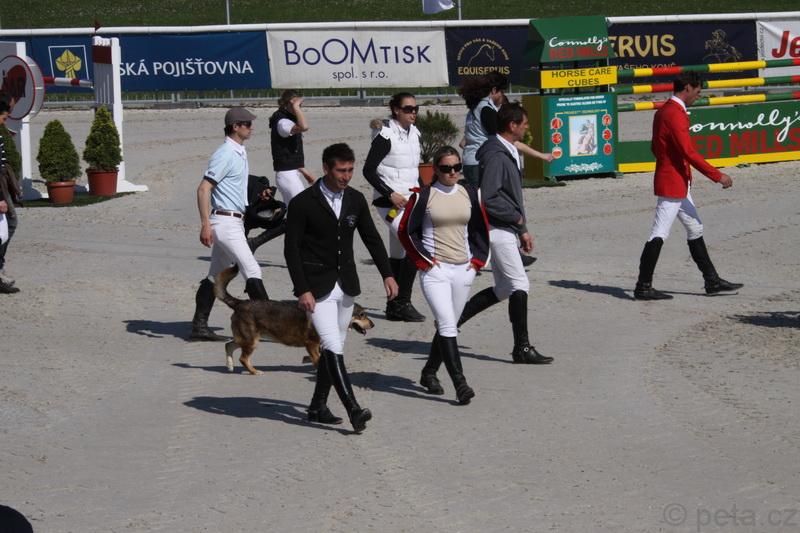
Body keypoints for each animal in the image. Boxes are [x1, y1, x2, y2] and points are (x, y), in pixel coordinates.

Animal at [214, 265, 375, 375]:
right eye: (361, 314)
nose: (373, 324)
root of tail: (240, 303)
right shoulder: (311, 344)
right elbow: (317, 359)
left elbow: (318, 357)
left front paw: (308, 360)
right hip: (251, 340)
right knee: (243, 358)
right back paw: (254, 371)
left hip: (245, 338)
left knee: (228, 345)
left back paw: (230, 365)